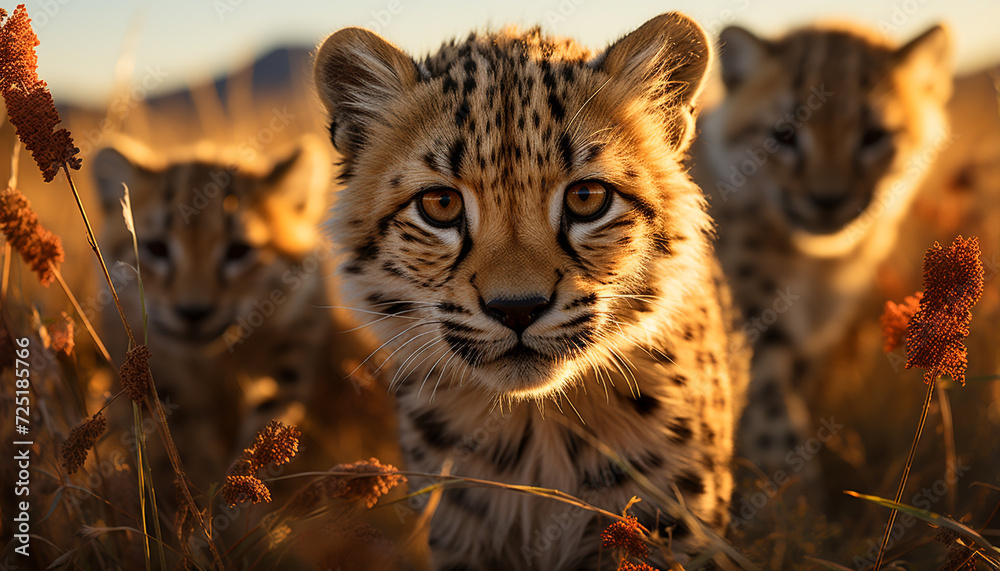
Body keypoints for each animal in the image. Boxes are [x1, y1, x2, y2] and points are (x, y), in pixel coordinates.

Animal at [691, 22, 953, 486]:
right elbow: (772, 422)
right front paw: (796, 498)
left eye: (873, 136)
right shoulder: (750, 328)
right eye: (784, 135)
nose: (827, 199)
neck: (816, 264)